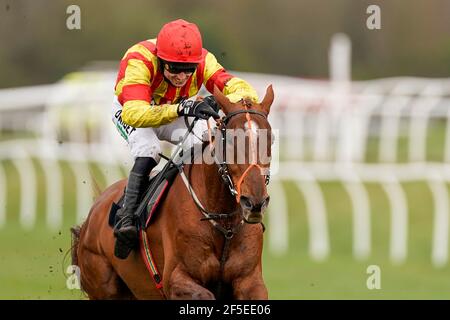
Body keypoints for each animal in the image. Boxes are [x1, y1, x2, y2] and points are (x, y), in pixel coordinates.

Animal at [71, 85, 274, 300]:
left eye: (271, 139)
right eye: (229, 142)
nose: (254, 202)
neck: (224, 223)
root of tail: (90, 218)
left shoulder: (251, 281)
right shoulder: (176, 280)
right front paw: (194, 107)